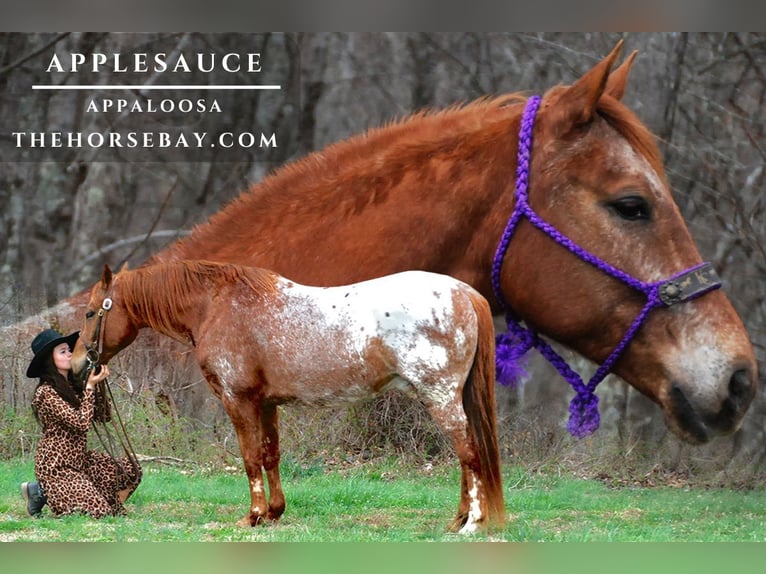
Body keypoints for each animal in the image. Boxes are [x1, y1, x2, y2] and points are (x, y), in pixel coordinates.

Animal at [71, 261, 504, 533]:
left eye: (92, 312)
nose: (77, 365)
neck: (218, 306)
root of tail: (464, 292)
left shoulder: (238, 400)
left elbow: (249, 458)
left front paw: (252, 516)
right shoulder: (267, 404)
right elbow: (270, 455)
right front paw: (274, 513)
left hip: (440, 398)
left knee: (470, 455)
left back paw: (472, 524)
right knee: (466, 459)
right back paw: (458, 520)